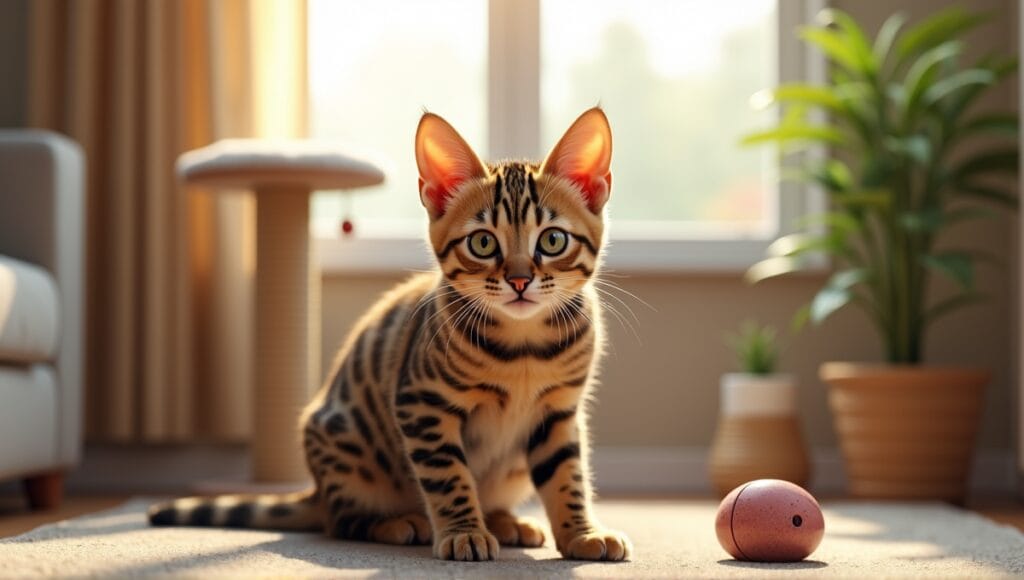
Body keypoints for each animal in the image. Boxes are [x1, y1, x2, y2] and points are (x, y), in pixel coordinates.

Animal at [149, 108, 630, 565]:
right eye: (482, 244)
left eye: (552, 240)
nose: (518, 280)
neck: (524, 347)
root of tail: (317, 489)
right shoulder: (422, 404)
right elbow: (449, 477)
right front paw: (463, 533)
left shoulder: (559, 412)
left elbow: (568, 477)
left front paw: (582, 533)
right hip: (345, 448)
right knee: (341, 521)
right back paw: (401, 523)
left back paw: (506, 521)